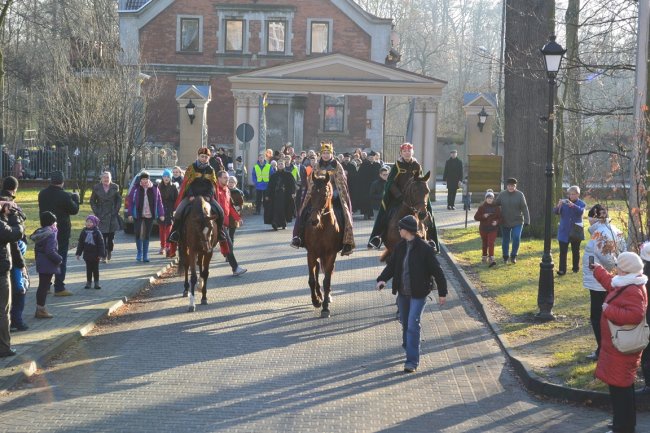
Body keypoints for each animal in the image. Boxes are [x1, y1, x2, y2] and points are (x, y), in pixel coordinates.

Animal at [304, 171, 344, 318]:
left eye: (325, 194)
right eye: (311, 194)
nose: (314, 220)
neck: (321, 228)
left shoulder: (331, 254)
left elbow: (327, 280)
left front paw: (325, 307)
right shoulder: (311, 253)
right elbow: (311, 279)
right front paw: (316, 300)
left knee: (329, 272)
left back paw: (327, 296)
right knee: (316, 270)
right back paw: (319, 295)